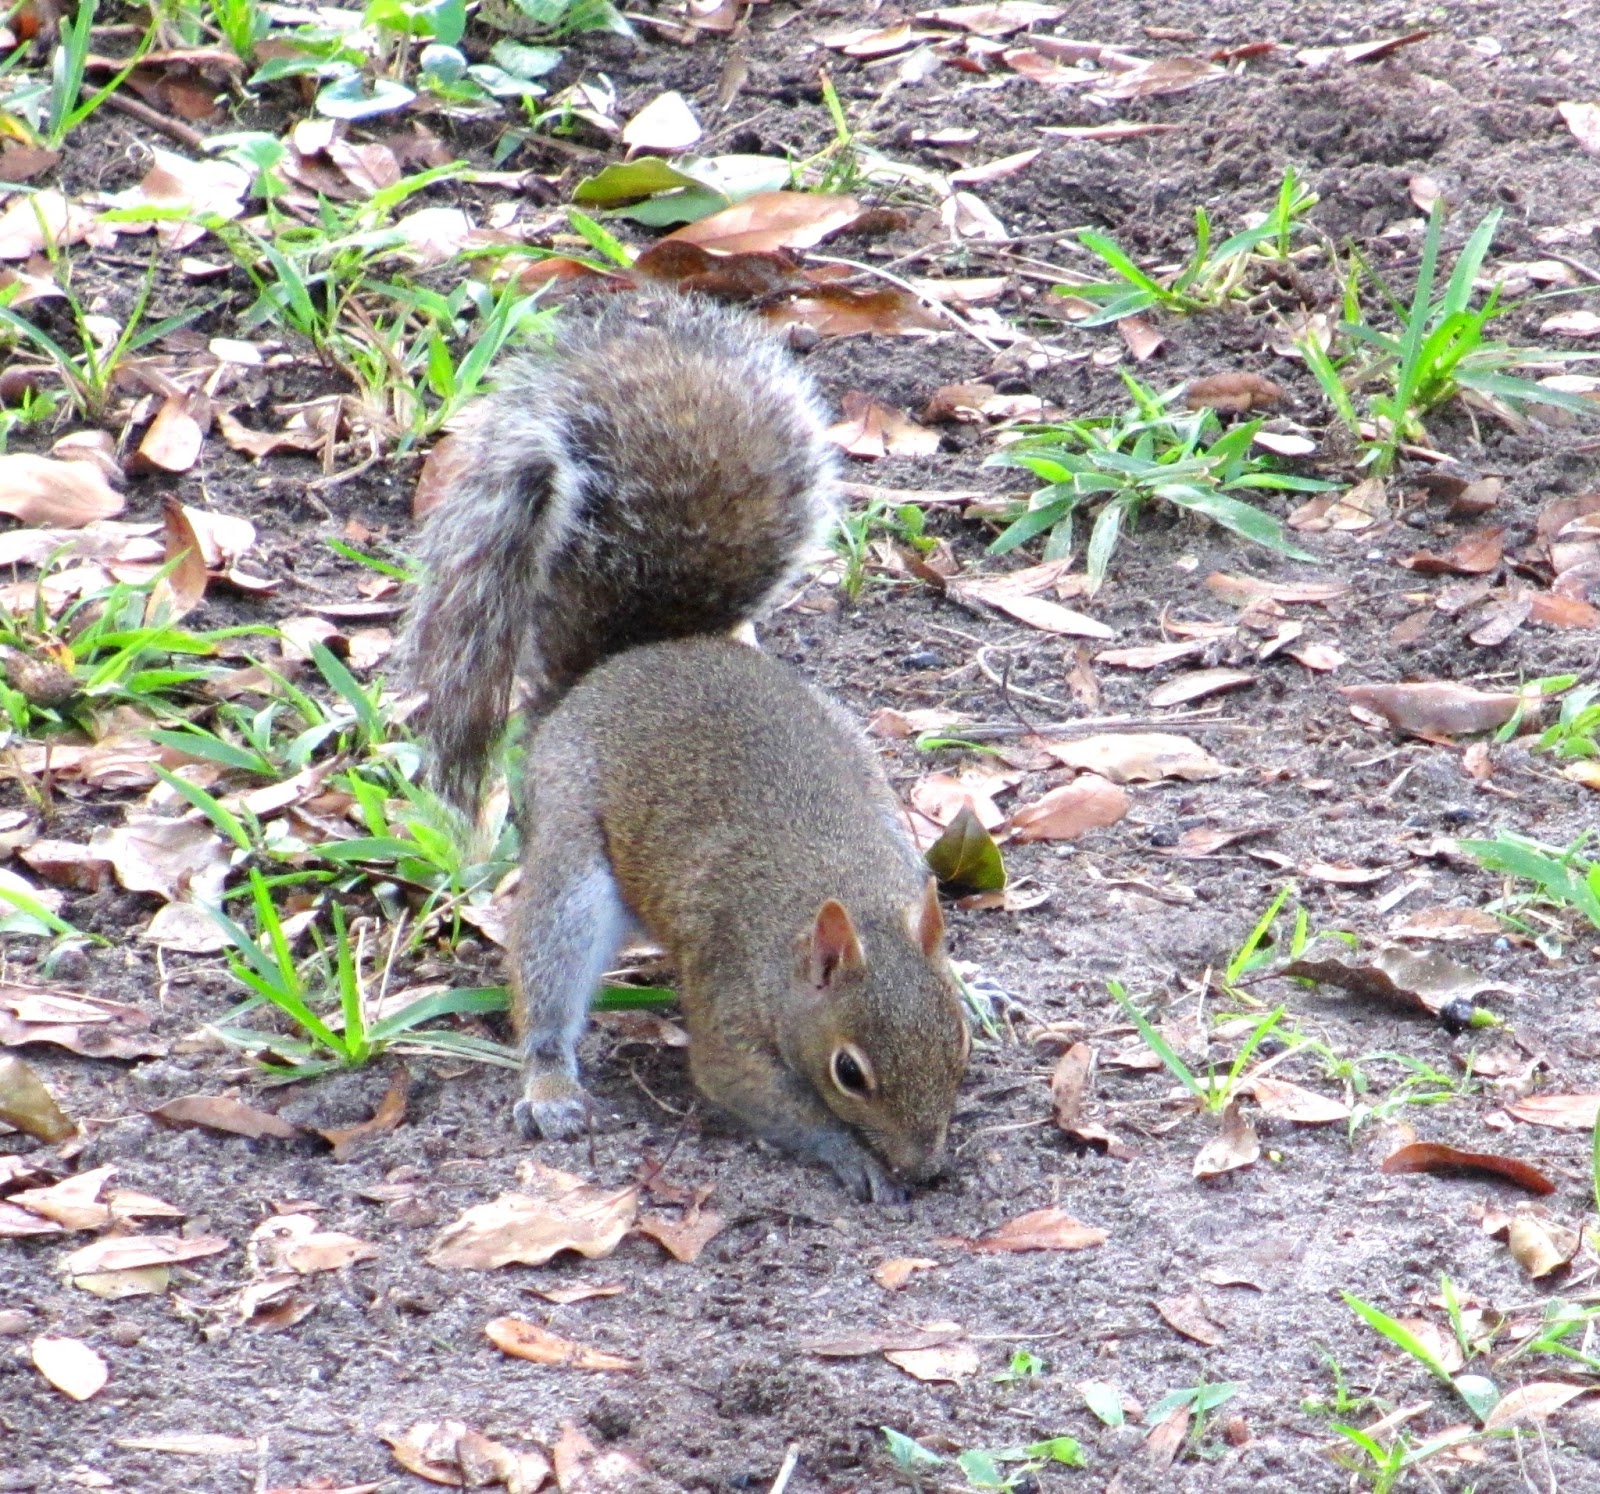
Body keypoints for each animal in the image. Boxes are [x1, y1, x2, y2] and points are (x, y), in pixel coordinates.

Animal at [403, 293, 970, 1201]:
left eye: (958, 1045)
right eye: (849, 1073)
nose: (924, 1169)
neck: (838, 899)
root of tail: (624, 664)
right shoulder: (731, 1003)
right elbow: (746, 1089)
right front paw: (851, 1158)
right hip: (571, 855)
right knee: (549, 975)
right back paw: (550, 1084)